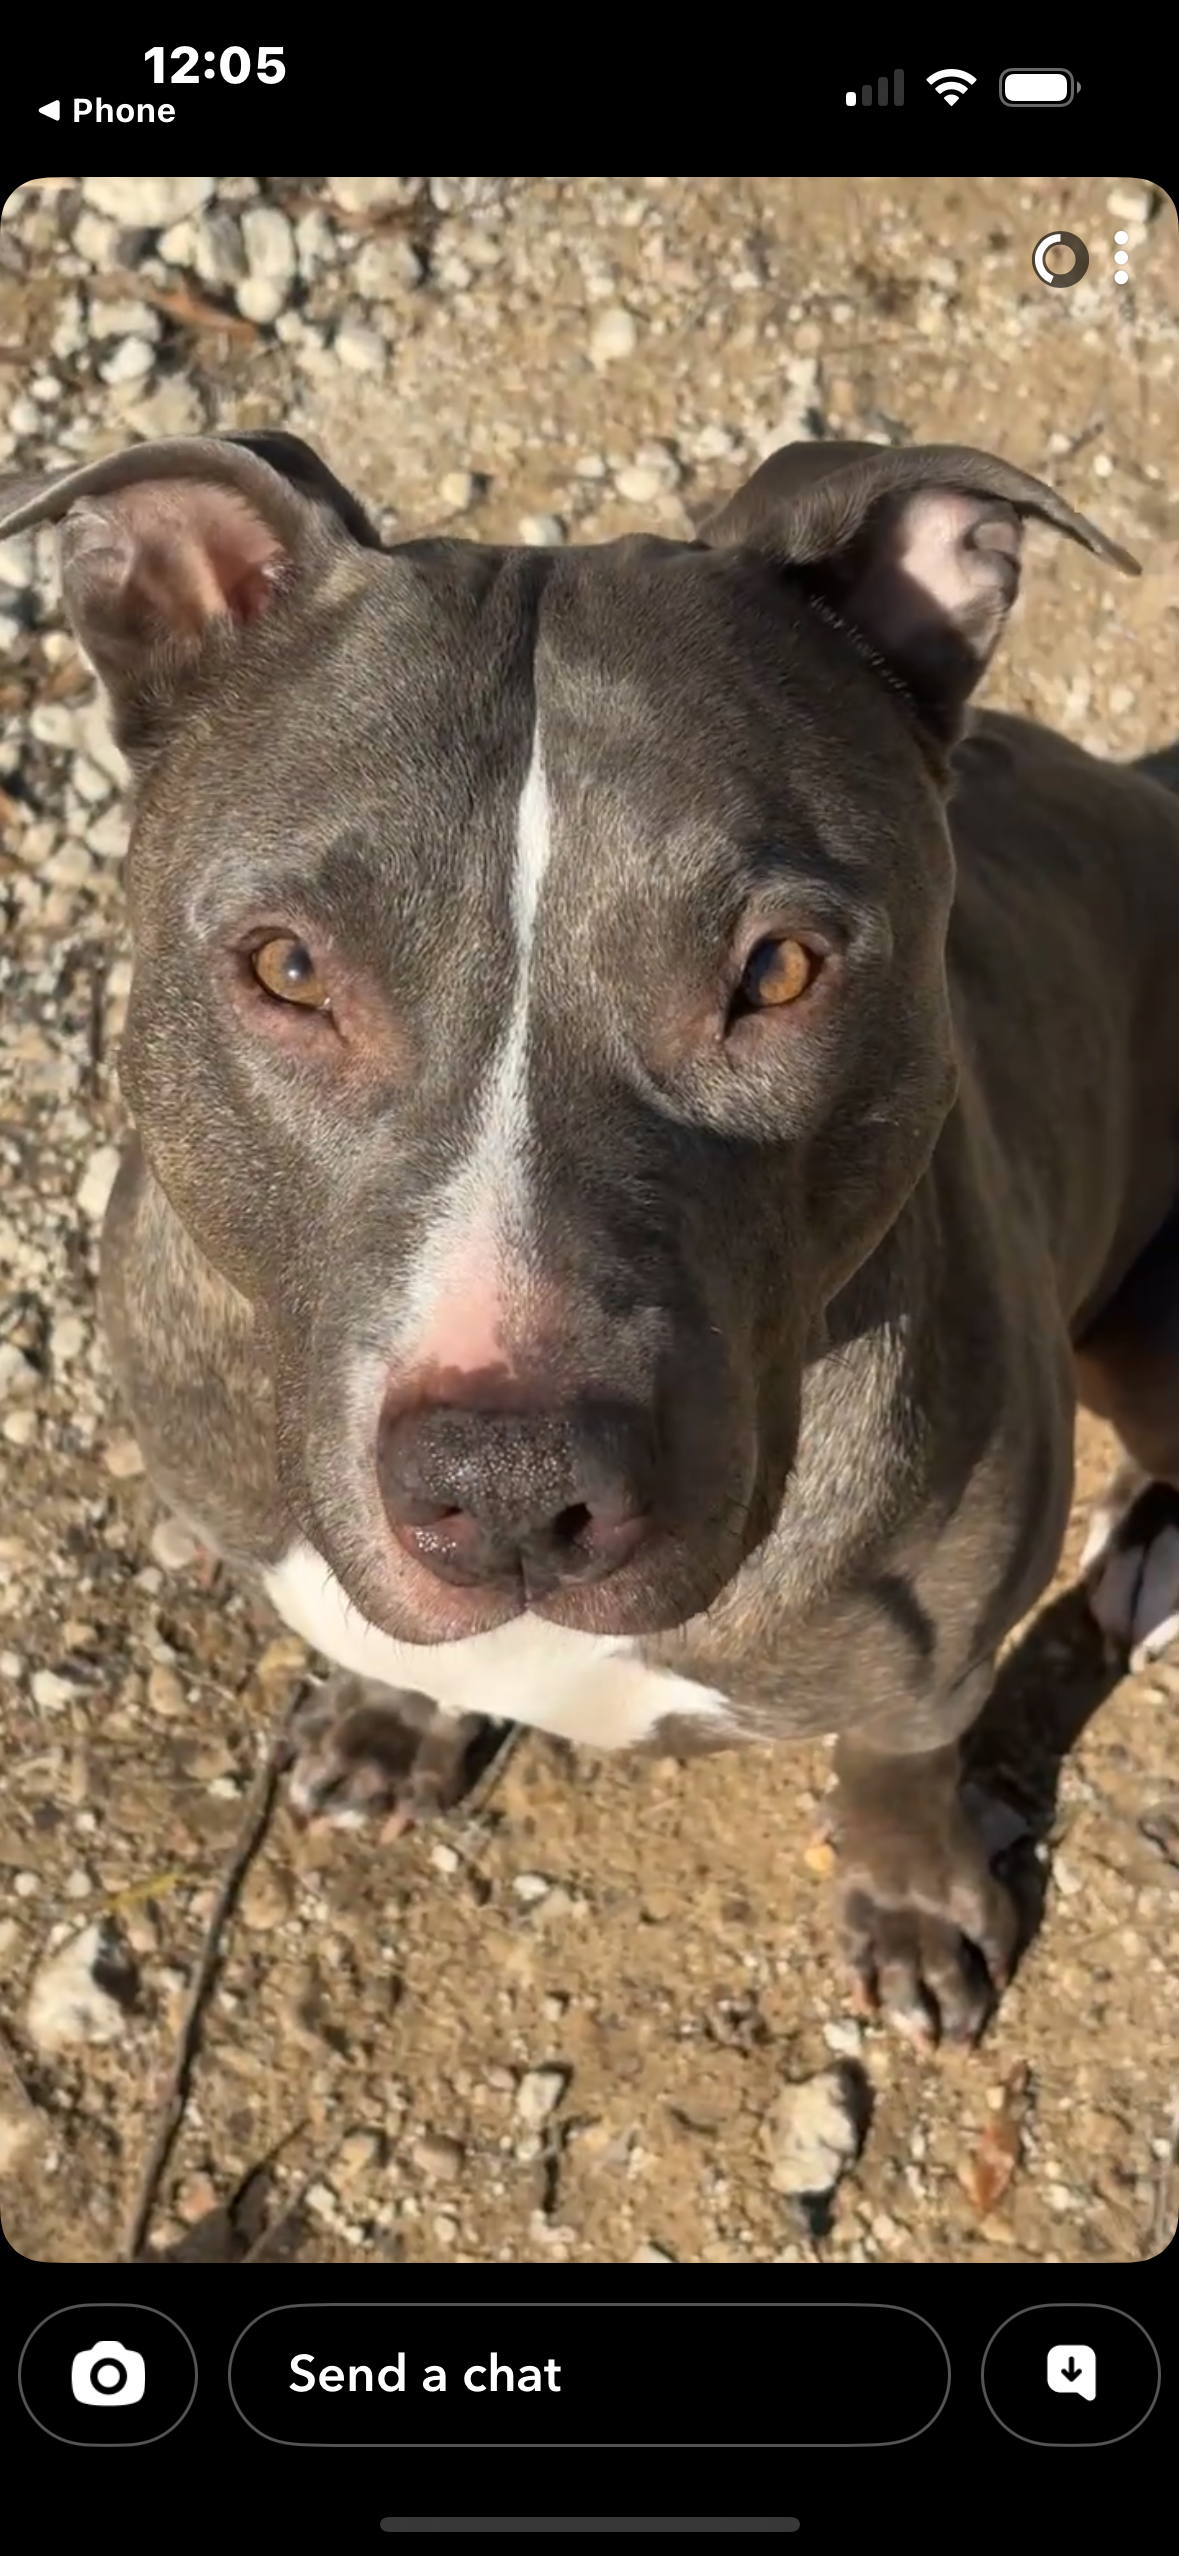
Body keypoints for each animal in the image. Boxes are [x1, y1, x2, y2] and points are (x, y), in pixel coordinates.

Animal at [4, 428, 1178, 2050]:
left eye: (779, 969)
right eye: (287, 968)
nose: (509, 1483)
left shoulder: (944, 1640)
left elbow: (900, 1749)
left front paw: (911, 1895)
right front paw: (393, 1718)